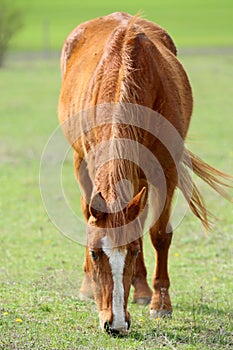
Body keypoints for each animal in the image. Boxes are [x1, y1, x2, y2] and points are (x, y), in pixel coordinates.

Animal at [57, 11, 231, 334]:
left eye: (134, 252)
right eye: (95, 253)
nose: (114, 324)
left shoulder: (166, 168)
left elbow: (159, 233)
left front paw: (160, 303)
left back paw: (141, 289)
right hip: (79, 160)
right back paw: (88, 286)